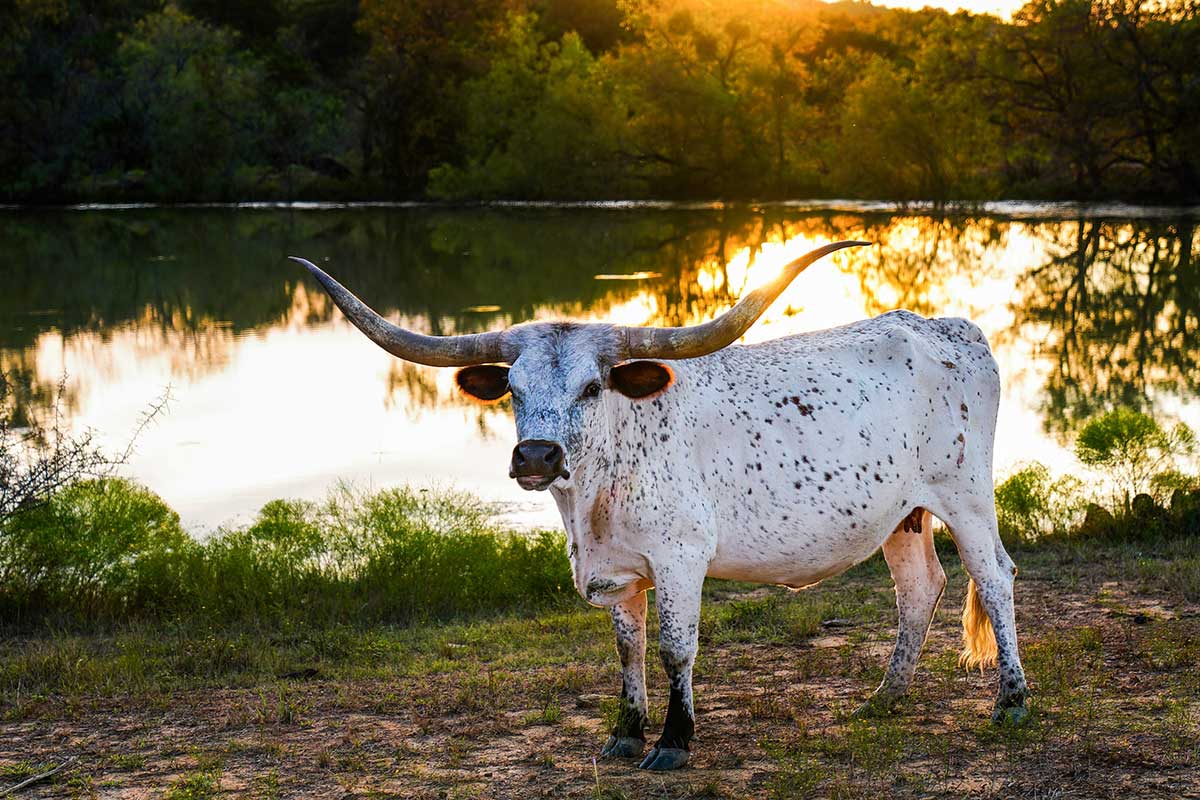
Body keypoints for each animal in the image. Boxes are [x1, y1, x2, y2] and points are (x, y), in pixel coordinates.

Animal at [292, 242, 1032, 767]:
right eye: (513, 390)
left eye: (592, 387)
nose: (536, 457)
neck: (596, 496)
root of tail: (952, 327)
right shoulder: (617, 573)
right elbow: (629, 649)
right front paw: (625, 734)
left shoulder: (681, 559)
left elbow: (677, 648)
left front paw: (674, 741)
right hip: (901, 512)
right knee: (919, 587)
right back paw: (884, 698)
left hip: (965, 496)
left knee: (994, 578)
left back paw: (1012, 702)